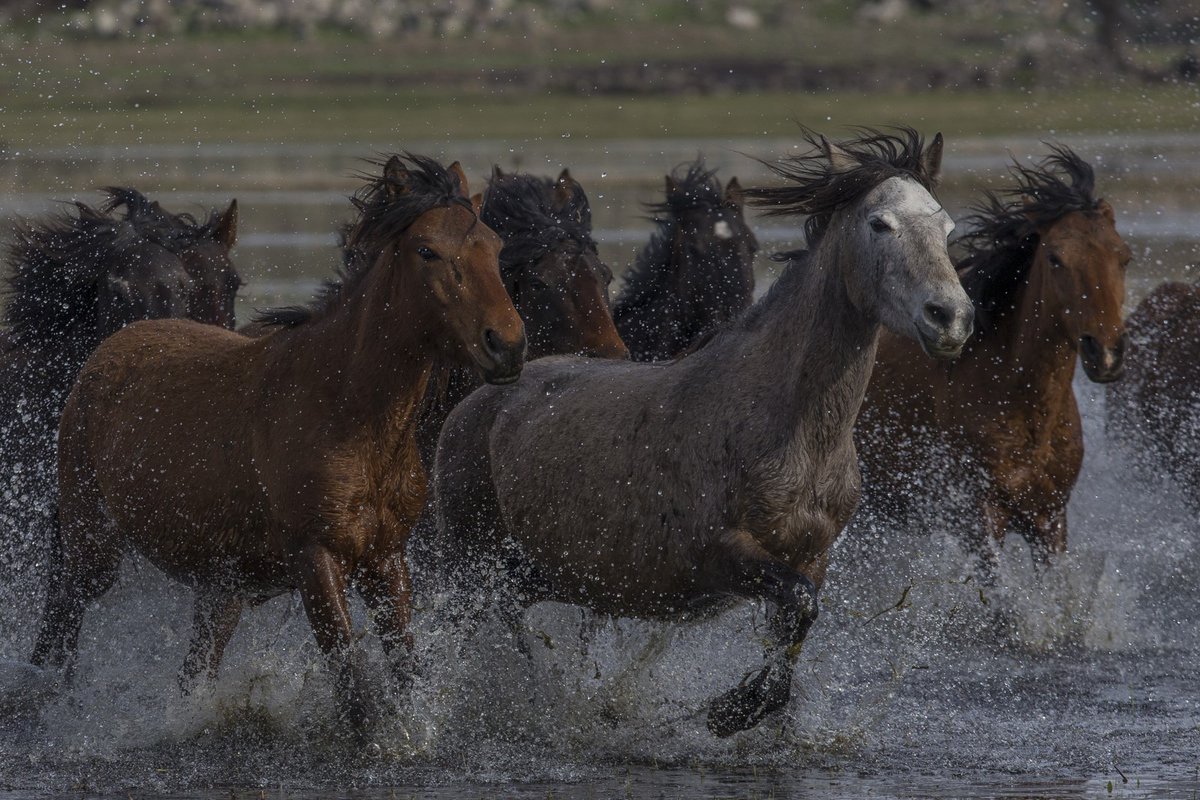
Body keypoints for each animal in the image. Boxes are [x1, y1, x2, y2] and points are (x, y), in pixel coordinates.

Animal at [28, 153, 523, 734]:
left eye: (494, 245)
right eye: (427, 250)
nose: (507, 345)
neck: (349, 414)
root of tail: (107, 352)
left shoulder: (386, 557)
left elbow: (405, 670)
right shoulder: (315, 557)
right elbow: (353, 686)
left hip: (219, 587)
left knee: (193, 669)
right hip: (94, 545)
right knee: (63, 614)